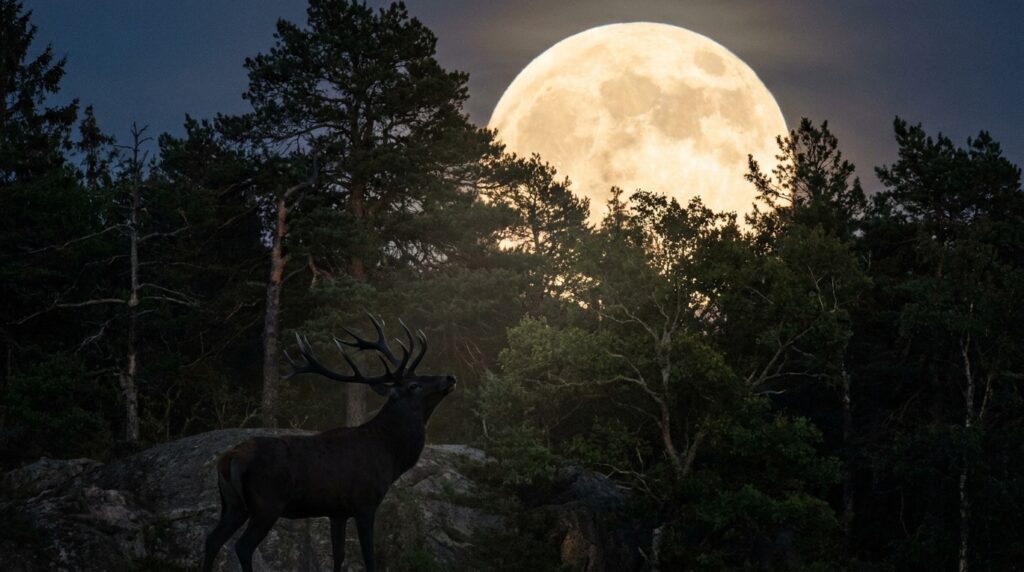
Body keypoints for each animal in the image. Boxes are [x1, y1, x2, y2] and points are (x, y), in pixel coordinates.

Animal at [201, 315, 457, 572]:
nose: (450, 377)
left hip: (233, 504)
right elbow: (369, 558)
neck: (390, 455)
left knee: (211, 540)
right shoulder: (365, 502)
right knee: (243, 546)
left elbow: (339, 555)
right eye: (414, 385)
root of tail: (229, 458)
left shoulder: (338, 511)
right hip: (267, 502)